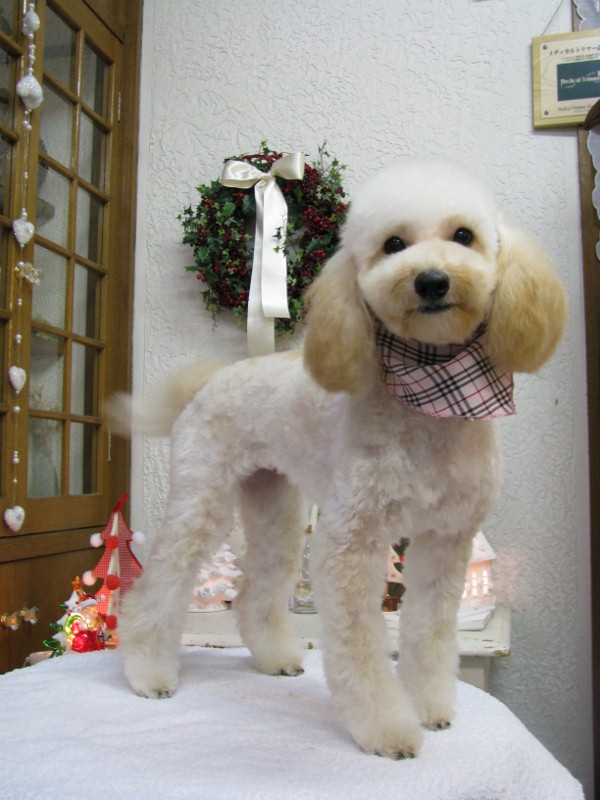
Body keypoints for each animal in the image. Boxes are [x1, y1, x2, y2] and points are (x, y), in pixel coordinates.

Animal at [115, 156, 567, 759]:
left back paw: (275, 658)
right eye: (393, 244)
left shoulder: (446, 540)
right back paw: (146, 672)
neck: (432, 402)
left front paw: (428, 707)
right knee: (159, 583)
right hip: (201, 497)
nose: (431, 281)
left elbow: (429, 631)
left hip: (275, 507)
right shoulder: (353, 539)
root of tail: (211, 380)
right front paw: (387, 728)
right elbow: (359, 647)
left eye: (464, 236)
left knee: (257, 589)